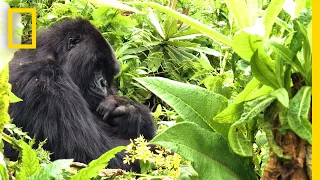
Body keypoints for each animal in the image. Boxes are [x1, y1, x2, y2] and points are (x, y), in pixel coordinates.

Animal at [7, 17, 156, 169]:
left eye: (108, 72)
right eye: (98, 65)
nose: (103, 83)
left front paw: (129, 111)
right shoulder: (46, 78)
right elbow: (95, 154)